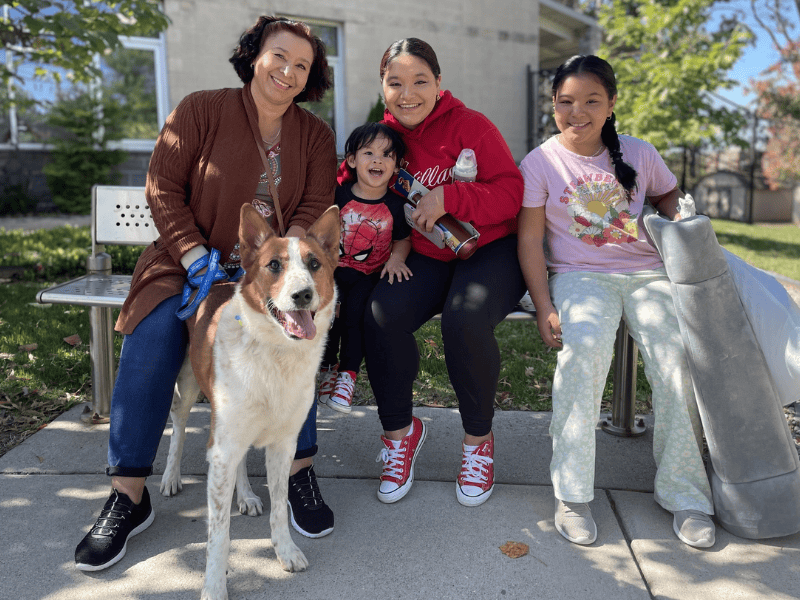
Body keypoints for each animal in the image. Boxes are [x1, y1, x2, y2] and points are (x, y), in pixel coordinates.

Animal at [161, 204, 340, 596]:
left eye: (315, 264)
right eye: (274, 265)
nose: (303, 294)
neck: (276, 352)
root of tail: (215, 282)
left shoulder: (283, 444)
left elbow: (279, 509)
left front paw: (285, 552)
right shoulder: (222, 449)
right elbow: (219, 534)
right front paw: (213, 587)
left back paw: (244, 495)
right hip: (189, 386)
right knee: (178, 424)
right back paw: (170, 476)